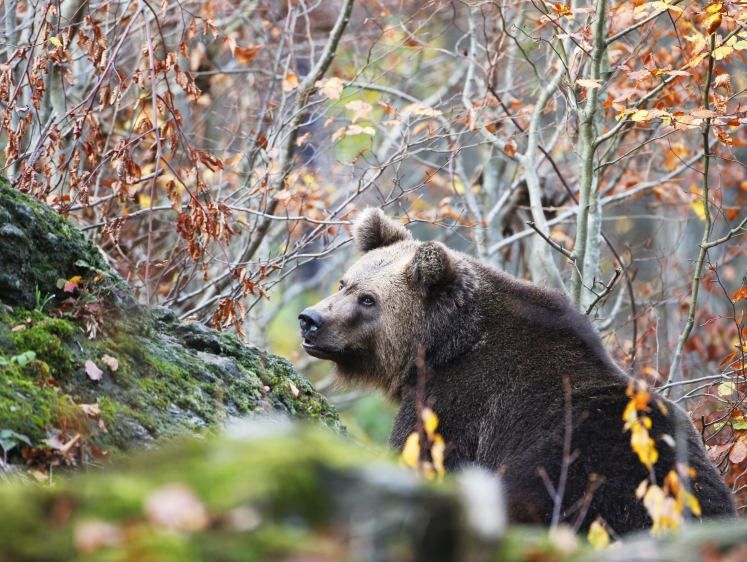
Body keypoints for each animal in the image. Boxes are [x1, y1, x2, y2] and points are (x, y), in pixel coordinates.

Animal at [298, 208, 736, 532]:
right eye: (345, 282)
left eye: (369, 299)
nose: (310, 319)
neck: (441, 346)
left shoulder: (455, 405)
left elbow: (420, 453)